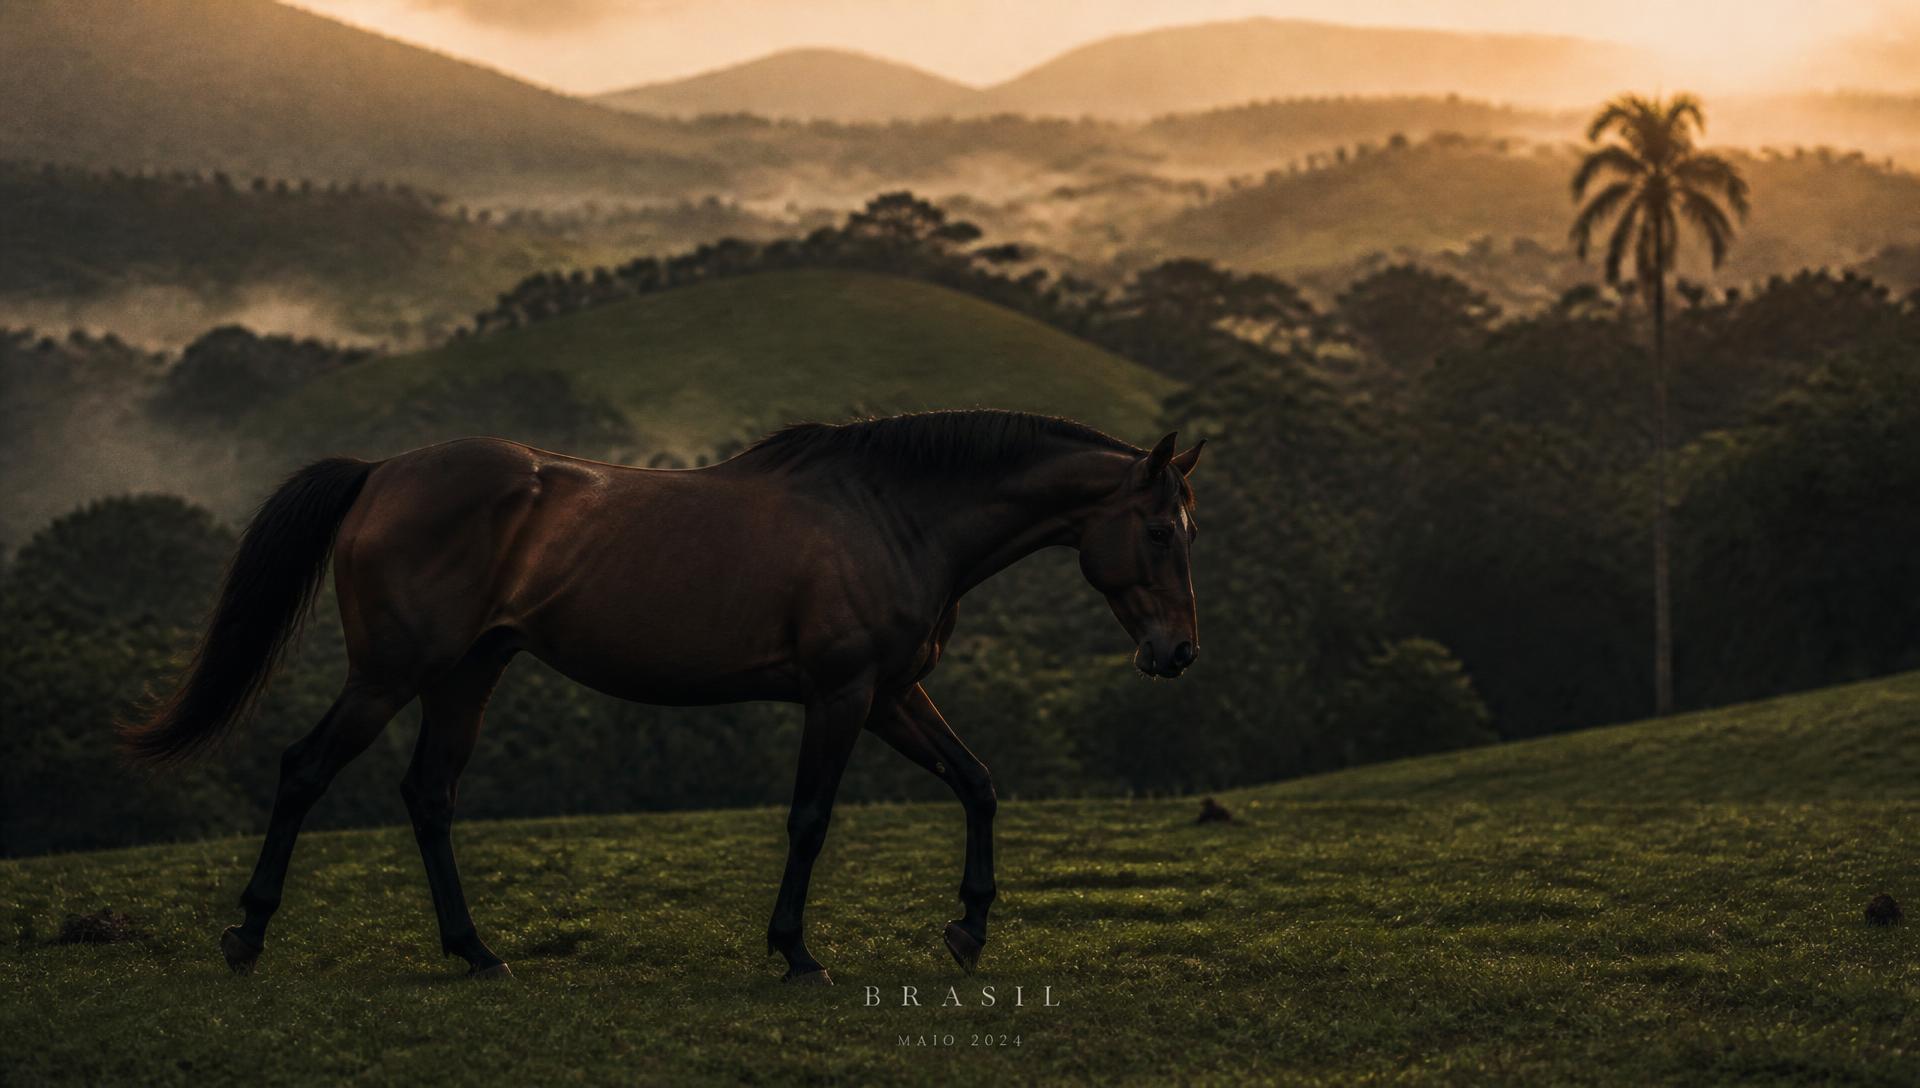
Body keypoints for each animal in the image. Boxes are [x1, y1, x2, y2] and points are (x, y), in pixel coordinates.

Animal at [123, 409, 1204, 984]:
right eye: (1160, 530)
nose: (1179, 652)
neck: (891, 516)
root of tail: (382, 472)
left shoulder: (894, 693)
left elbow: (978, 784)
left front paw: (969, 928)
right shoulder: (842, 695)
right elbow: (810, 820)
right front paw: (795, 950)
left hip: (468, 673)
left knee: (429, 796)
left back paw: (476, 950)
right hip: (390, 676)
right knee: (304, 770)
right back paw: (249, 932)